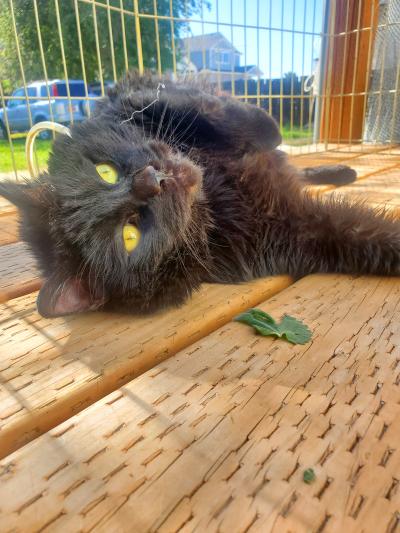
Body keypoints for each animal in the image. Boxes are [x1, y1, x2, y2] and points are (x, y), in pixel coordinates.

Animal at [1, 74, 398, 316]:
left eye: (105, 172)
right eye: (128, 235)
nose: (152, 181)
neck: (215, 193)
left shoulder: (147, 98)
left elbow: (236, 118)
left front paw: (262, 131)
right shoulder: (297, 228)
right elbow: (372, 237)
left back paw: (342, 170)